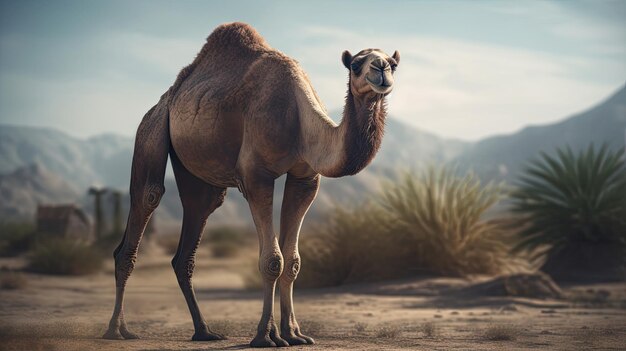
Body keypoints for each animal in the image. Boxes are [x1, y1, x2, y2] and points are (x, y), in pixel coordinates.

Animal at [101, 22, 394, 350]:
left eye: (393, 63)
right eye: (356, 64)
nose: (381, 69)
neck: (298, 117)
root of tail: (163, 100)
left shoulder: (305, 178)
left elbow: (293, 262)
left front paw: (294, 333)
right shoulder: (256, 176)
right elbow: (273, 260)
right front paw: (266, 335)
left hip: (198, 171)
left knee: (194, 223)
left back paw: (204, 331)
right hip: (150, 129)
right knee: (147, 197)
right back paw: (117, 329)